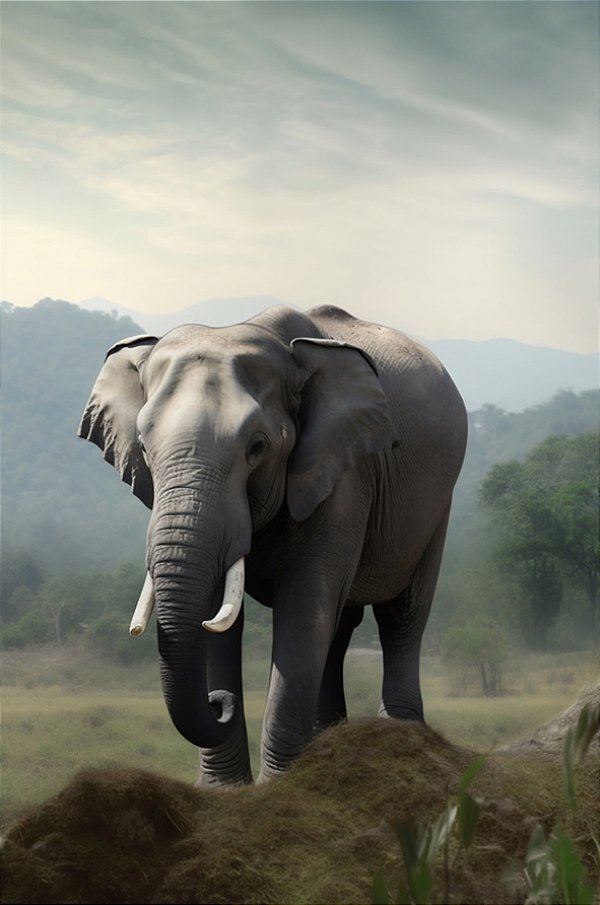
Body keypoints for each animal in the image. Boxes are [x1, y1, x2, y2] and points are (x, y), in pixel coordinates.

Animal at [78, 304, 467, 785]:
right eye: (146, 449)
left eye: (257, 448)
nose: (218, 703)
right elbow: (223, 616)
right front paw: (224, 790)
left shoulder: (345, 473)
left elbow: (302, 608)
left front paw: (282, 785)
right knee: (340, 624)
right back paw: (327, 743)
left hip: (436, 506)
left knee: (402, 615)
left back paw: (399, 732)